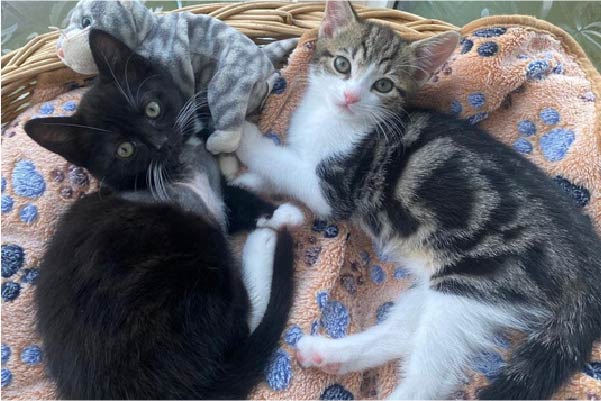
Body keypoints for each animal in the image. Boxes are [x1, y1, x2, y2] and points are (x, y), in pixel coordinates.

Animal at [24, 28, 298, 400]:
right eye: (124, 150)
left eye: (152, 108)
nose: (161, 142)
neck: (182, 166)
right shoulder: (199, 205)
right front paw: (286, 213)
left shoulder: (214, 190)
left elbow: (233, 198)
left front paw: (256, 192)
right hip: (196, 256)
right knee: (243, 318)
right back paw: (263, 244)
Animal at [233, 1, 600, 398]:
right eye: (342, 64)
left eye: (383, 85)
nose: (349, 97)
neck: (332, 120)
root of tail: (586, 262)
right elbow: (281, 165)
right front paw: (247, 181)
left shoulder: (333, 188)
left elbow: (284, 163)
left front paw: (243, 137)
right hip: (451, 282)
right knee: (404, 329)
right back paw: (326, 354)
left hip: (477, 280)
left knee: (431, 378)